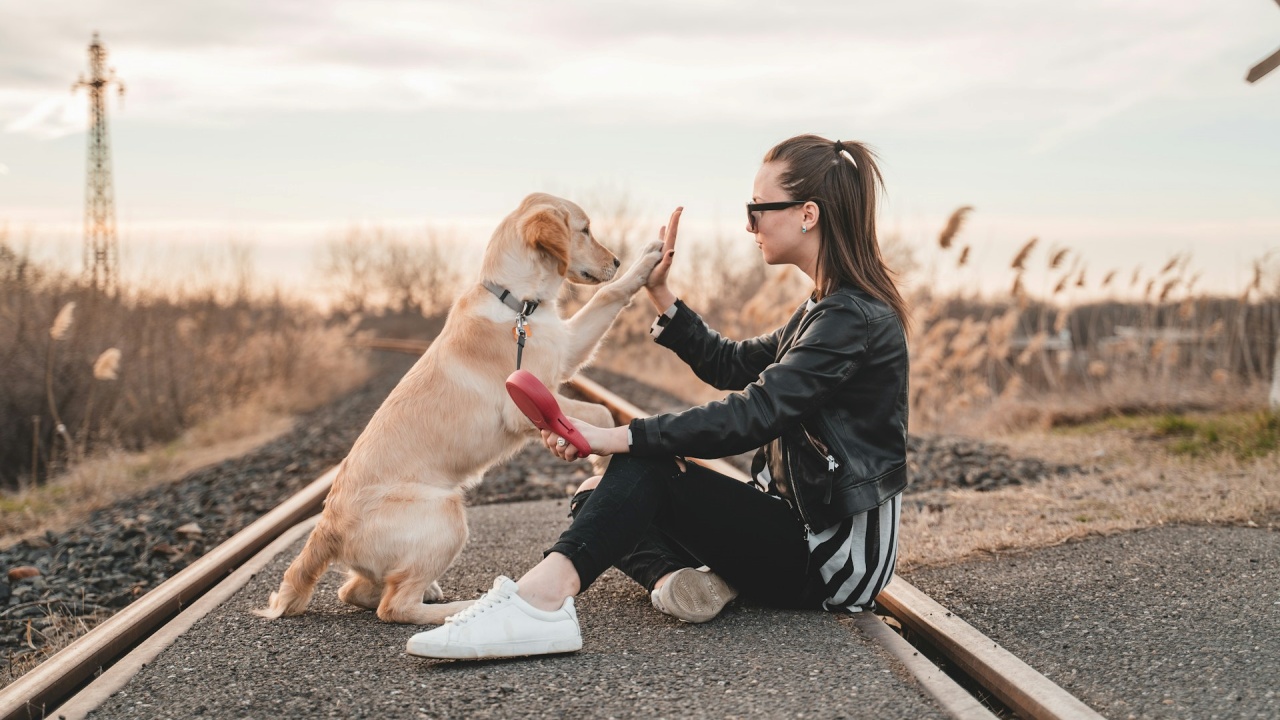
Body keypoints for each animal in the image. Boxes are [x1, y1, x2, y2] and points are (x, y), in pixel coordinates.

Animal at [256, 192, 665, 622]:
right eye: (585, 230)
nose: (616, 261)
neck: (517, 304)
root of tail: (326, 527)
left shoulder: (566, 349)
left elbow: (609, 295)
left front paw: (646, 261)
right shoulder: (524, 403)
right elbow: (600, 413)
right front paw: (602, 462)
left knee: (354, 591)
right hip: (447, 513)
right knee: (394, 606)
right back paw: (467, 607)